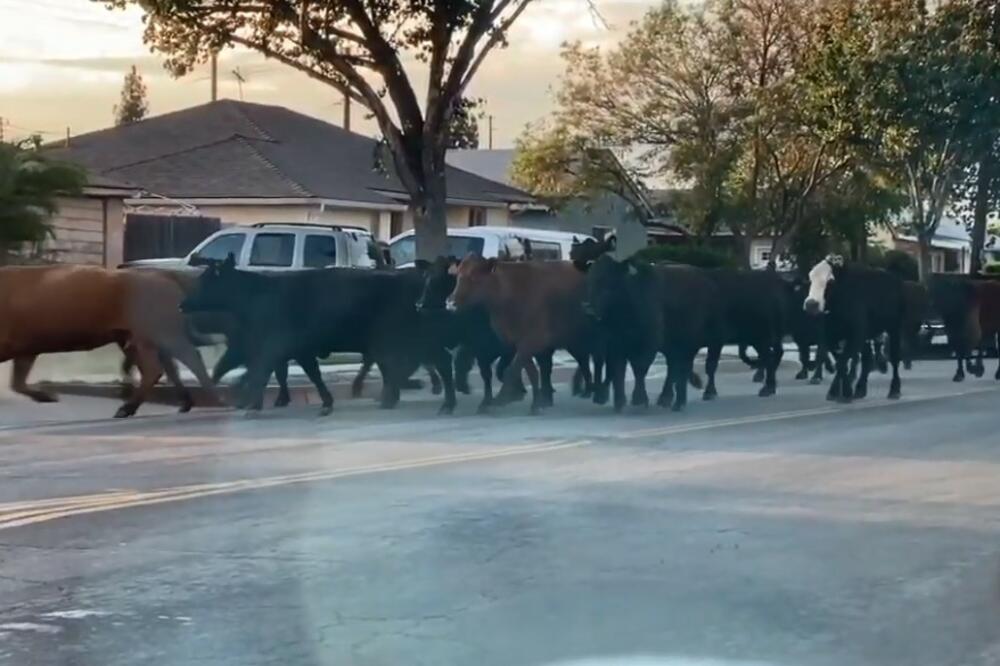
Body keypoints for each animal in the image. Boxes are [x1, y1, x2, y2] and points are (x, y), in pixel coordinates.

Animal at [0, 264, 220, 416]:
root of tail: (163, 275)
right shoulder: (26, 350)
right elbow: (17, 382)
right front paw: (48, 397)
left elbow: (17, 382)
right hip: (139, 340)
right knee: (167, 367)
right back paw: (183, 404)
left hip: (158, 335)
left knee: (180, 360)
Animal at [181, 255, 458, 416]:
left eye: (208, 279)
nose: (183, 304)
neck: (258, 296)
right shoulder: (291, 349)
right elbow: (297, 373)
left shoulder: (277, 345)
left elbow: (264, 371)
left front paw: (250, 403)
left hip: (411, 337)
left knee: (437, 361)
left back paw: (441, 402)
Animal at [448, 253, 600, 412]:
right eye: (458, 275)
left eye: (474, 276)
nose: (451, 303)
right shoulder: (519, 343)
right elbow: (531, 372)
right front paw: (536, 403)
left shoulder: (532, 341)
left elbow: (512, 370)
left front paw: (499, 400)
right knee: (581, 361)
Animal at [580, 254, 728, 410]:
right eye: (590, 282)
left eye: (609, 283)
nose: (589, 310)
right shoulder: (616, 344)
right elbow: (618, 370)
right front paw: (619, 402)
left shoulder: (649, 344)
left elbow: (639, 369)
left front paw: (639, 399)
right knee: (674, 368)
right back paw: (667, 399)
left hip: (702, 343)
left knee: (695, 366)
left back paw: (690, 398)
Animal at [800, 253, 904, 400]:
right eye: (810, 280)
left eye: (830, 281)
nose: (811, 304)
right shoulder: (831, 337)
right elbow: (840, 362)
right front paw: (837, 391)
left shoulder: (856, 334)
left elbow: (843, 361)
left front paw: (845, 392)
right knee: (867, 359)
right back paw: (860, 389)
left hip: (893, 328)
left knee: (894, 357)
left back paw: (894, 390)